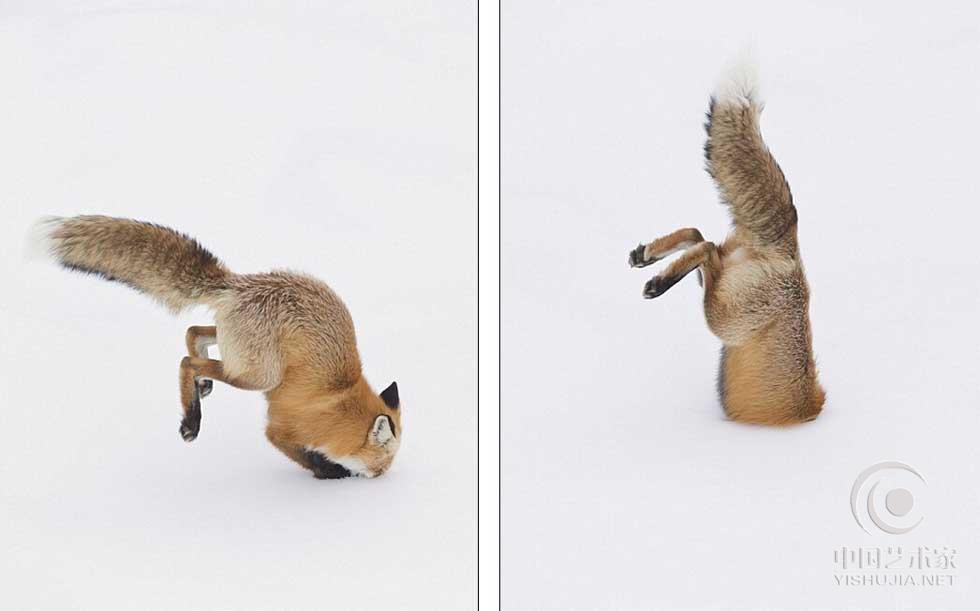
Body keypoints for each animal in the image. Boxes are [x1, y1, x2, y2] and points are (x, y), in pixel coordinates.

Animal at [31, 218, 398, 480]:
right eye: (381, 465)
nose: (379, 479)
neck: (339, 398)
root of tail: (235, 285)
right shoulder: (280, 427)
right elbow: (298, 452)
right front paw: (329, 473)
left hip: (236, 351)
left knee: (193, 332)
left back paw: (201, 388)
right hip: (260, 375)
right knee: (186, 361)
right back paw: (191, 419)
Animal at [628, 57, 828, 426]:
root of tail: (790, 251)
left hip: (723, 302)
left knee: (699, 236)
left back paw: (647, 256)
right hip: (722, 318)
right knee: (705, 247)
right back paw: (658, 282)